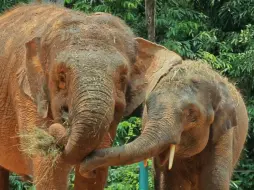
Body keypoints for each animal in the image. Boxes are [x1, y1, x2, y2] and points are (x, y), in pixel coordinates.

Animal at [0, 3, 175, 190]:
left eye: (122, 78)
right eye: (62, 77)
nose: (63, 124)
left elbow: (95, 172)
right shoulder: (27, 96)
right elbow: (50, 168)